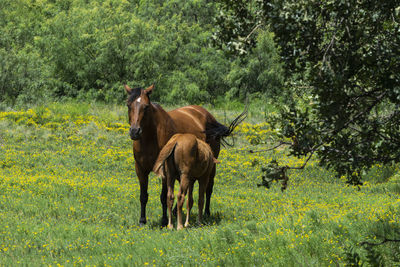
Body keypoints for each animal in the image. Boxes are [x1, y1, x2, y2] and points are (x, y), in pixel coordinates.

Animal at [125, 84, 245, 226]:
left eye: (146, 106)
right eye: (128, 105)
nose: (135, 131)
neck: (150, 138)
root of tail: (208, 116)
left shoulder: (165, 170)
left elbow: (163, 196)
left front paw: (164, 221)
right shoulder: (140, 169)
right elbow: (143, 196)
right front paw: (142, 221)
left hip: (211, 166)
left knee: (209, 188)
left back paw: (206, 213)